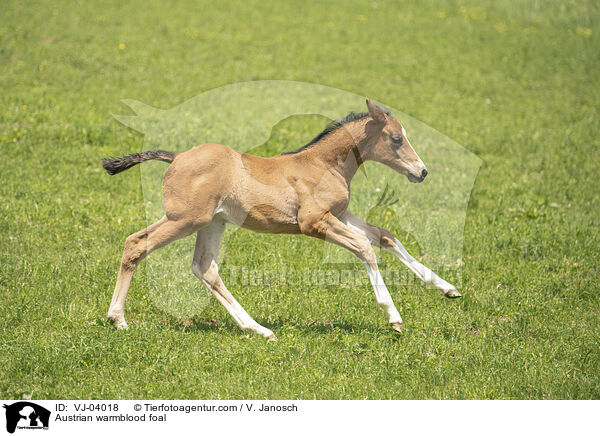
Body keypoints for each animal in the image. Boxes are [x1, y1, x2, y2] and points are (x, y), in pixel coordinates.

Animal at [103, 100, 460, 338]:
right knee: (135, 243)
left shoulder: (340, 214)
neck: (323, 164)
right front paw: (394, 318)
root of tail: (176, 157)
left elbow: (385, 236)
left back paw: (258, 329)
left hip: (213, 223)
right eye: (396, 139)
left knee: (205, 268)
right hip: (184, 218)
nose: (422, 172)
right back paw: (117, 319)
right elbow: (364, 247)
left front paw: (448, 288)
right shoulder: (313, 222)